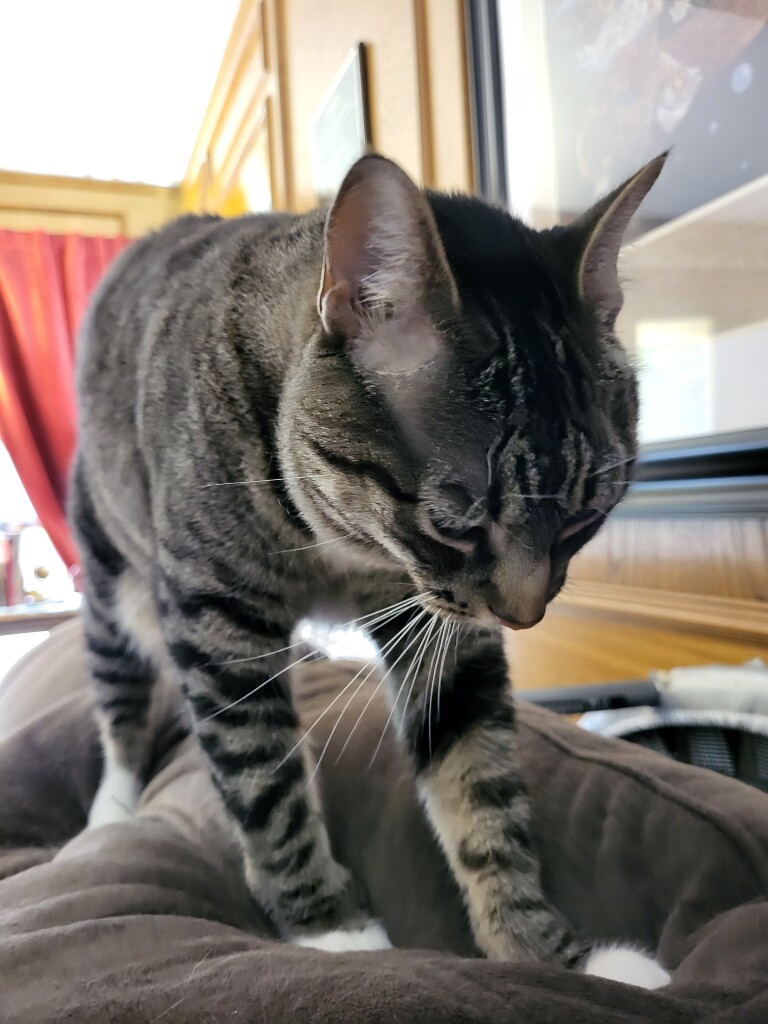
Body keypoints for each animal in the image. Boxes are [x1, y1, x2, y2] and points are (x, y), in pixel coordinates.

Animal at [70, 149, 667, 974]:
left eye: (586, 516)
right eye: (458, 525)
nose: (525, 615)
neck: (340, 545)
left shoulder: (441, 625)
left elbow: (479, 781)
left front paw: (550, 954)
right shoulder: (217, 618)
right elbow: (263, 777)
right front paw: (332, 928)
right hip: (110, 579)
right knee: (120, 700)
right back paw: (112, 807)